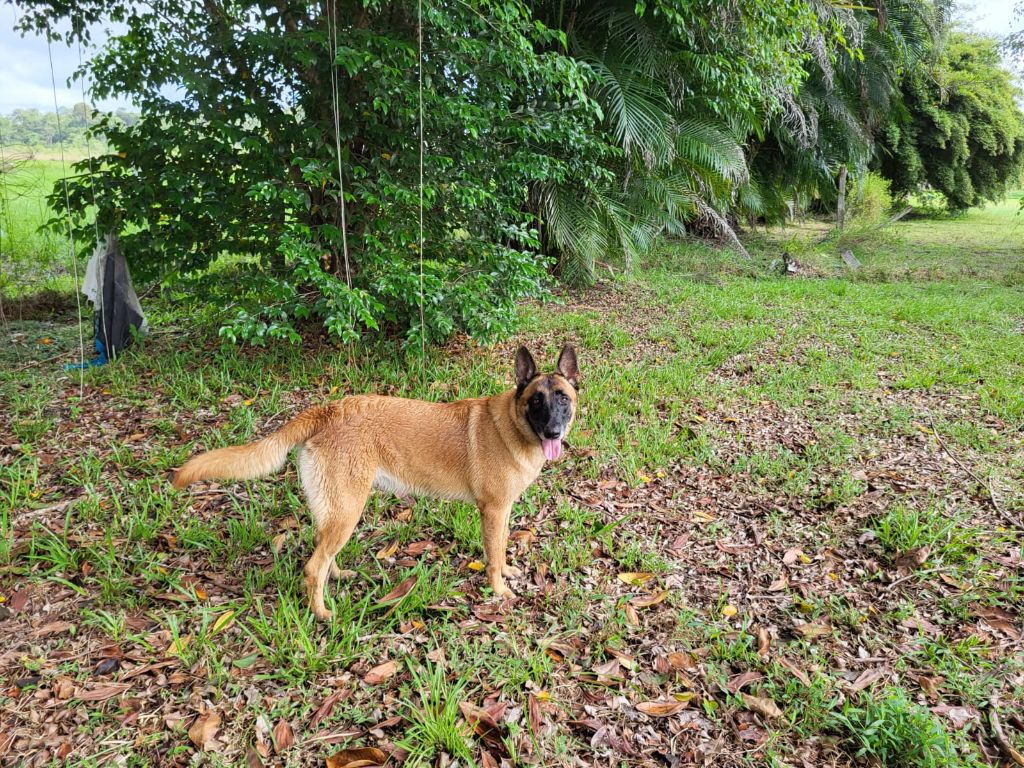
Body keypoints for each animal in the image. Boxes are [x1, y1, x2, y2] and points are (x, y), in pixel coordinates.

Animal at [172, 346, 581, 622]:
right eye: (536, 401)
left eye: (563, 398)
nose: (553, 432)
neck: (513, 424)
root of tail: (328, 410)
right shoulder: (492, 511)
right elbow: (493, 557)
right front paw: (498, 590)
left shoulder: (502, 511)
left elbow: (502, 549)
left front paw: (509, 571)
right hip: (348, 509)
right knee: (312, 567)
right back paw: (321, 613)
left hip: (338, 510)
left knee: (323, 550)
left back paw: (338, 576)